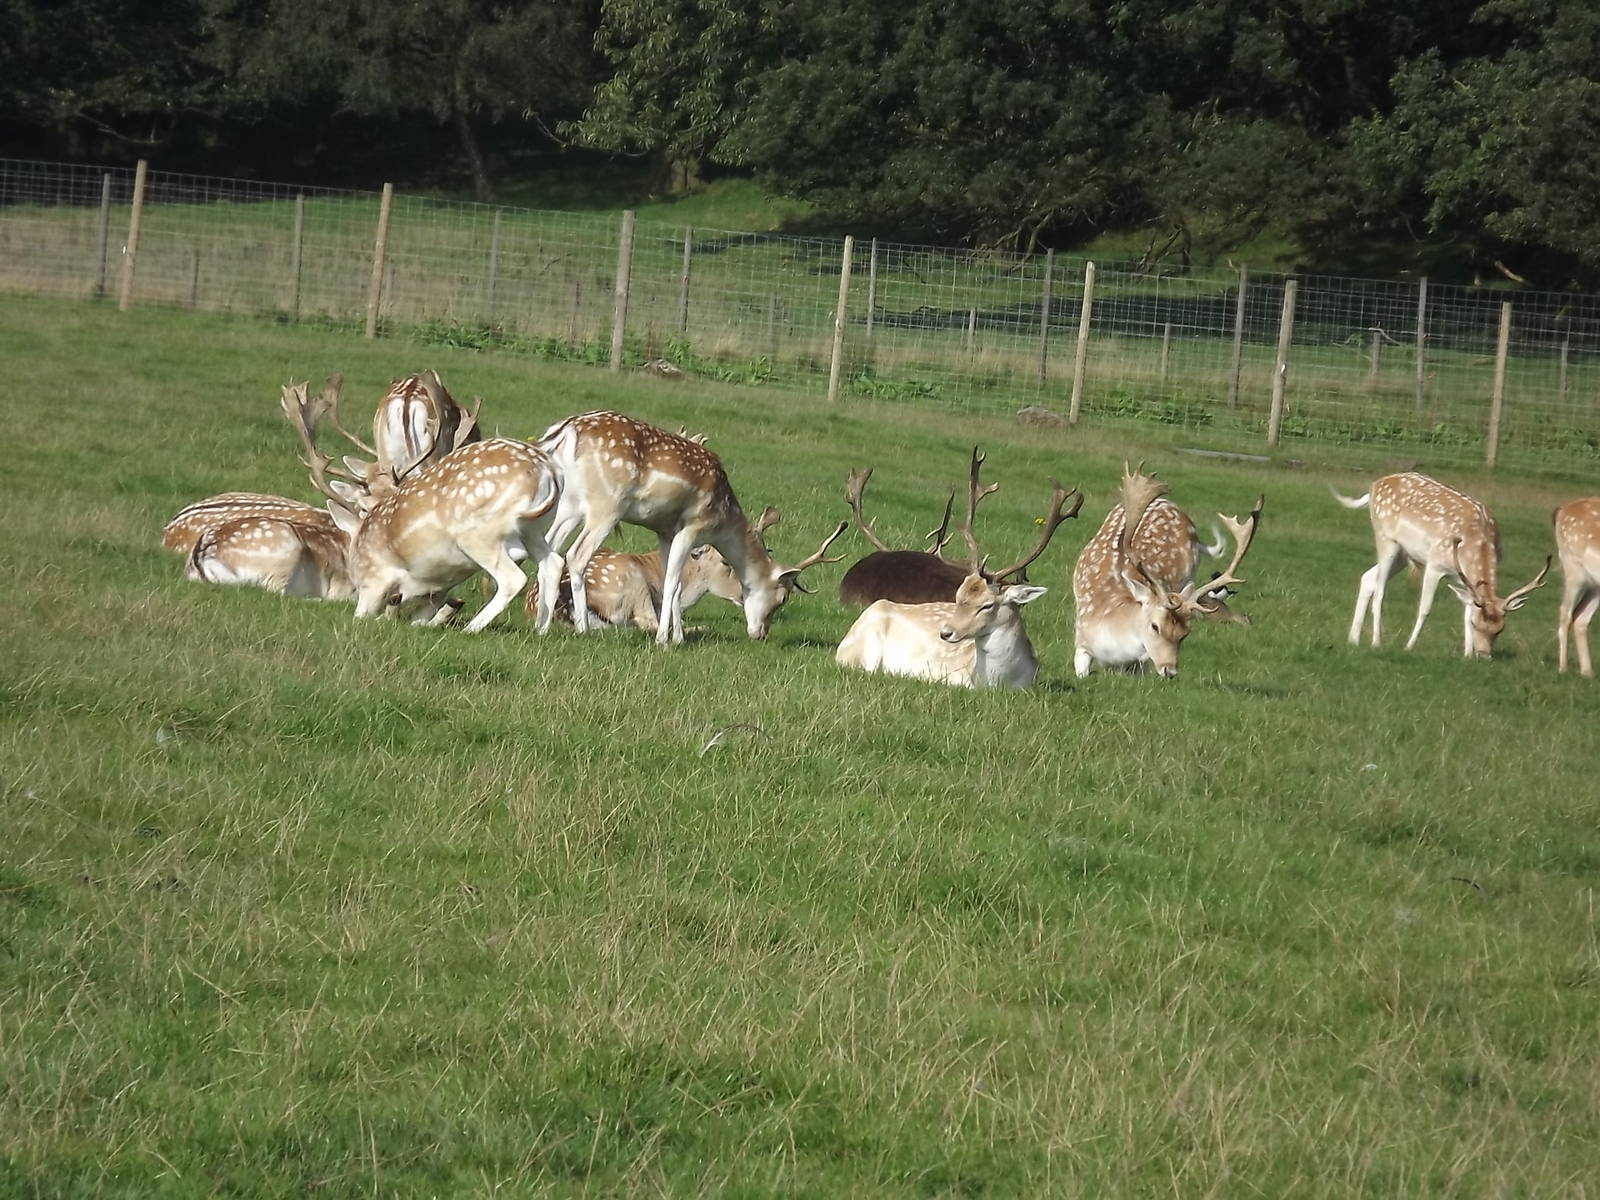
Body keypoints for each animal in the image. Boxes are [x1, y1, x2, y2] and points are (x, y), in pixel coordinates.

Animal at [282, 380, 561, 632]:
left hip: (478, 534)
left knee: (514, 577)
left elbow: (364, 616)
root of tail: (547, 472)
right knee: (552, 563)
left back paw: (472, 628)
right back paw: (540, 629)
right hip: (534, 529)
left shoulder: (376, 579)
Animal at [534, 410, 848, 644]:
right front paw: (665, 639)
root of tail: (565, 431)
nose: (761, 633)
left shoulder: (665, 531)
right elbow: (673, 581)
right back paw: (582, 628)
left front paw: (678, 637)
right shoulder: (692, 526)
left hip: (570, 503)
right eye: (782, 598)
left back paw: (541, 625)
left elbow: (672, 580)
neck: (724, 519)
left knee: (549, 548)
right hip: (607, 504)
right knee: (576, 555)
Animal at [1072, 464, 1262, 679]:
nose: (1169, 670)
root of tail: (1170, 504)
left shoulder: (1141, 664)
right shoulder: (1081, 639)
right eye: (1155, 626)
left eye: (1185, 634)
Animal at [1334, 472, 1549, 659]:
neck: (1476, 543)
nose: (1484, 655)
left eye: (1500, 629)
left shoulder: (1464, 579)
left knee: (1368, 578)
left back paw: (1353, 639)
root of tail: (1374, 486)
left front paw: (1467, 654)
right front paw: (1409, 646)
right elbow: (1425, 608)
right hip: (1387, 540)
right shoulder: (1435, 565)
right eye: (1476, 624)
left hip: (1405, 554)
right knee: (1380, 590)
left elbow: (1466, 608)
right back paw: (1376, 642)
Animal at [1552, 498, 1600, 676]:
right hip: (1573, 568)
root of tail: (1562, 509)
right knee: (1565, 611)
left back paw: (1587, 672)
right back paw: (1563, 668)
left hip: (1595, 583)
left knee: (1581, 617)